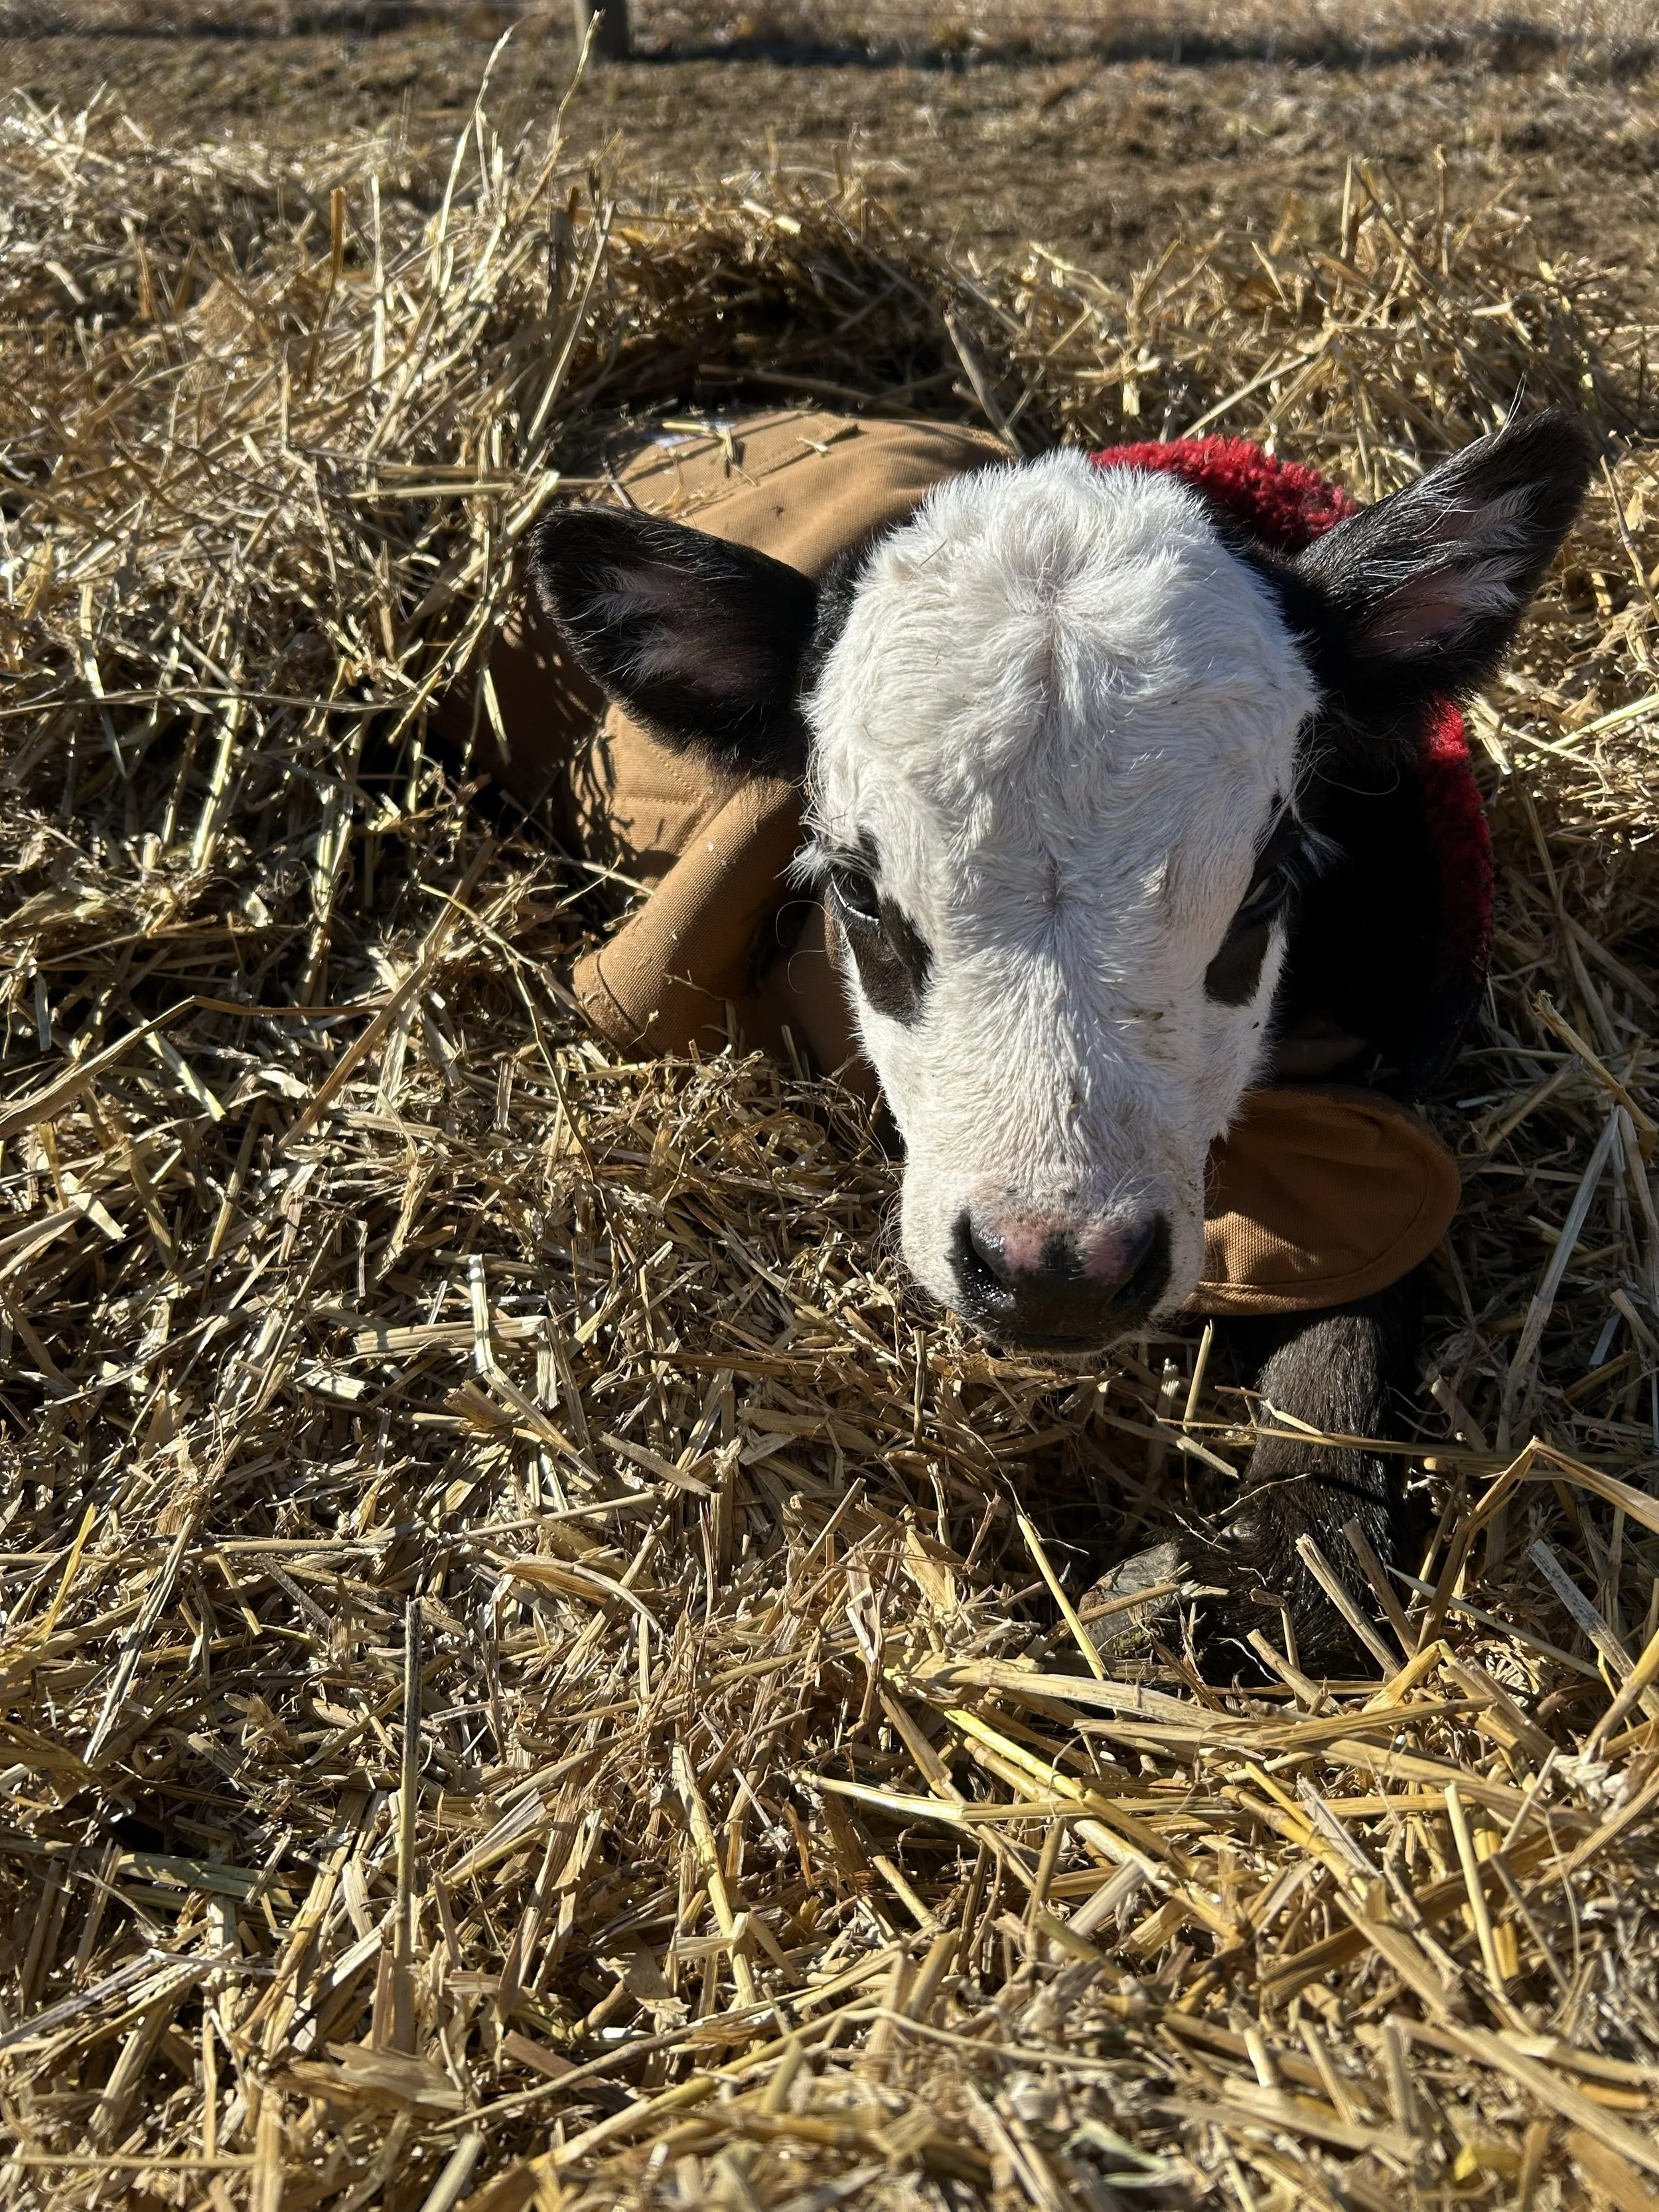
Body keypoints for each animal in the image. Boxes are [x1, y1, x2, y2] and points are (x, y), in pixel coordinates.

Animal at [526, 409, 1593, 1666]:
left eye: (1265, 884)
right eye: (857, 891)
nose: (1059, 1272)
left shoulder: (1381, 1124)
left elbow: (1339, 1395)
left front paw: (1259, 1565)